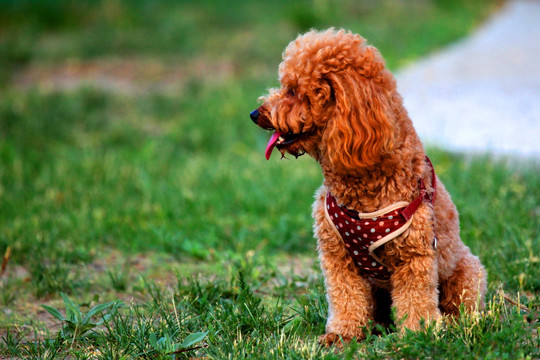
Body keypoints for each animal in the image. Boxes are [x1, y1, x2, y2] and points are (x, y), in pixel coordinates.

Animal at [251, 28, 488, 346]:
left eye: (292, 90)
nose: (254, 114)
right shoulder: (336, 255)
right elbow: (346, 297)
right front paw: (342, 333)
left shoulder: (414, 256)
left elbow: (416, 300)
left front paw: (419, 334)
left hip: (466, 273)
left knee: (462, 307)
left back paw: (452, 324)